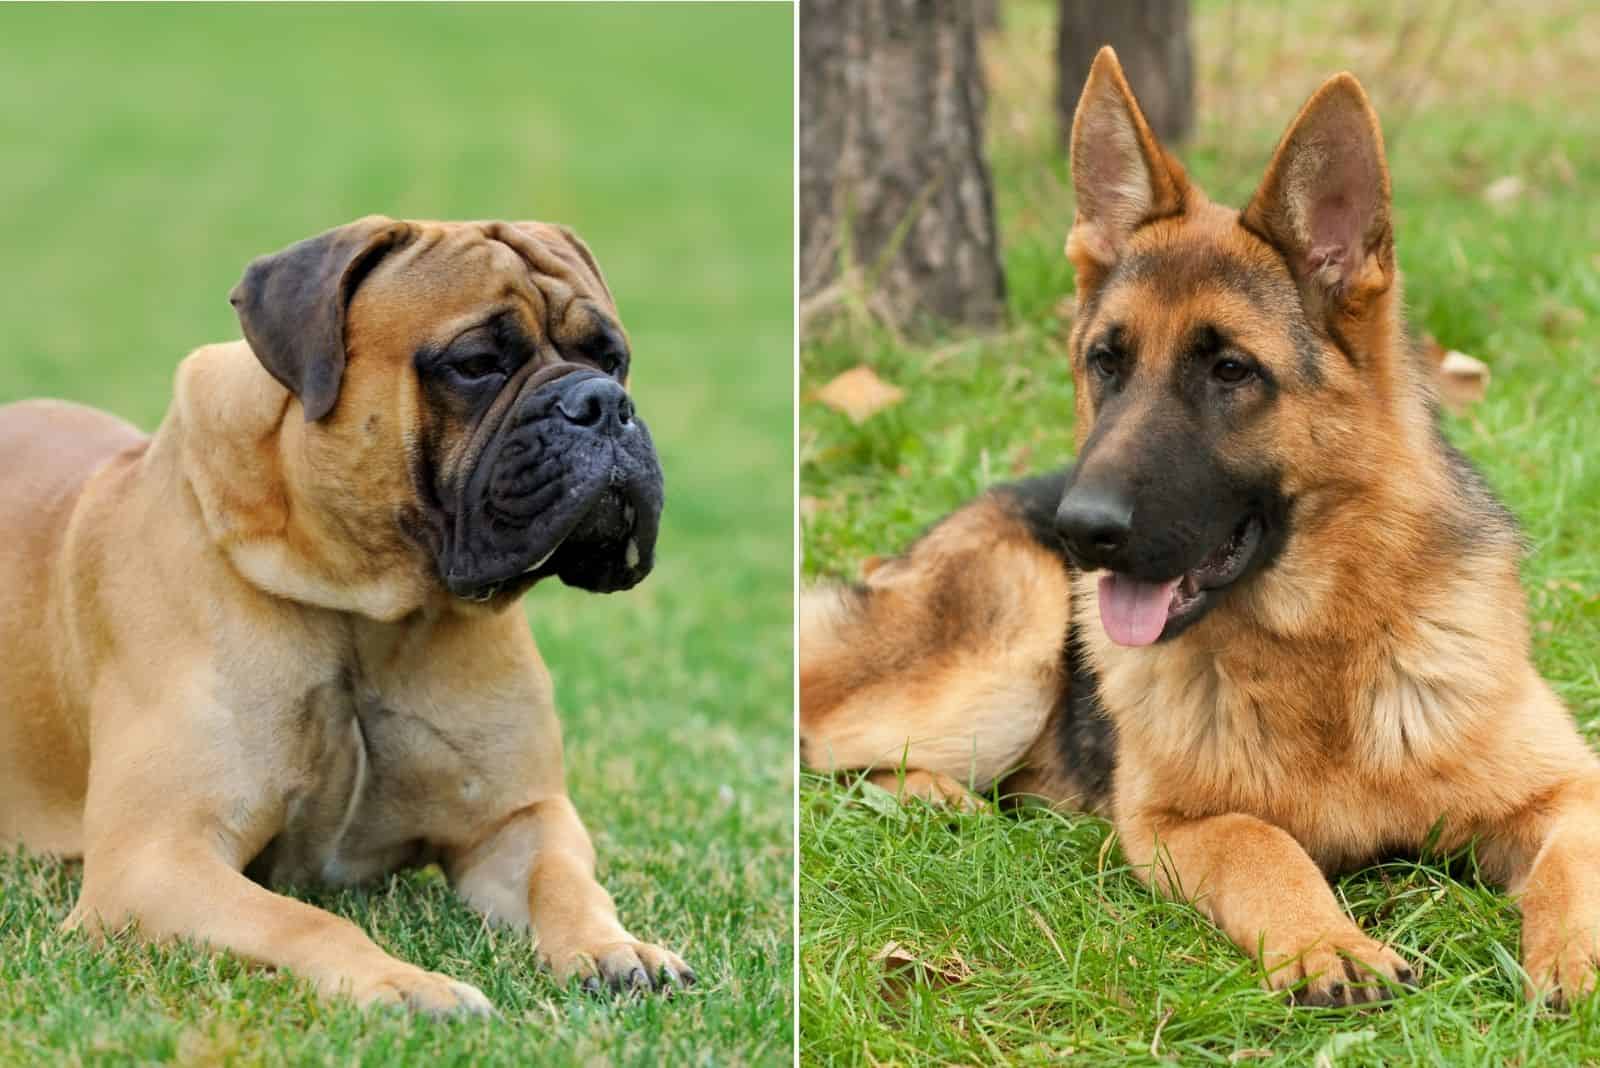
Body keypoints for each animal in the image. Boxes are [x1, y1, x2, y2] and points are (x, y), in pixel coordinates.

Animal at [0, 214, 694, 1010]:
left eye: (612, 358)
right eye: (476, 364)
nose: (604, 405)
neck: (364, 609)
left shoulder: (518, 820)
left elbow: (565, 882)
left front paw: (614, 947)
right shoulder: (154, 860)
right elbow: (302, 920)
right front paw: (406, 984)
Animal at [806, 45, 1600, 1004]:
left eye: (1230, 370)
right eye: (1106, 362)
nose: (1080, 530)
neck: (1319, 651)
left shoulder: (1570, 789)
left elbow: (1571, 861)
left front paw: (1573, 956)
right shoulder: (1173, 825)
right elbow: (1261, 842)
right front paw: (1325, 942)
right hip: (1004, 657)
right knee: (819, 736)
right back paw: (932, 799)